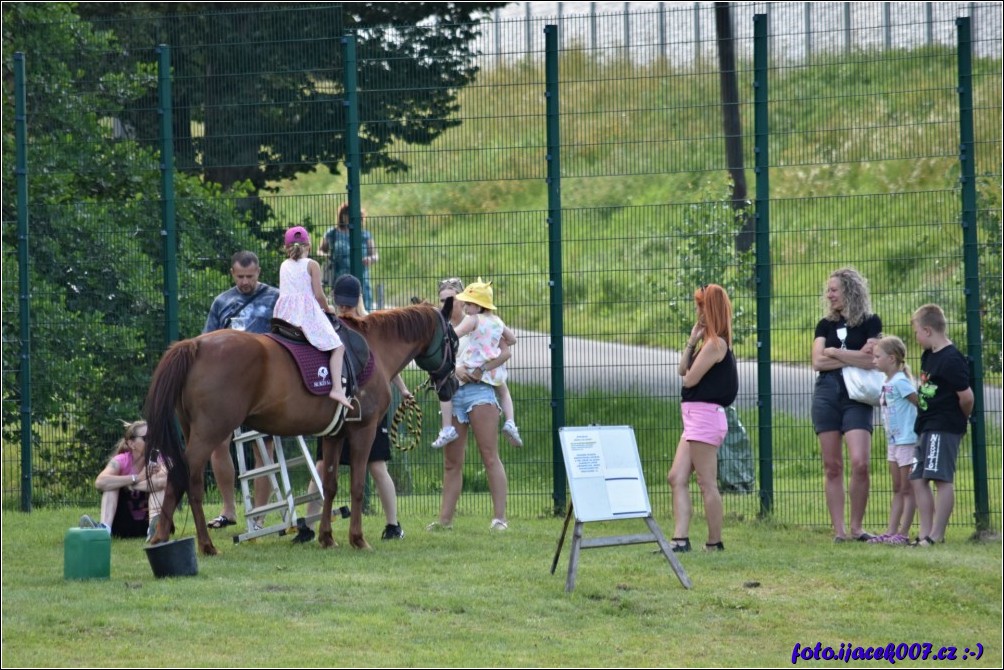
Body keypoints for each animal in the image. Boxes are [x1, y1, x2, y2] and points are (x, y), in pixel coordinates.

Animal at [142, 303, 455, 554]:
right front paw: (357, 538)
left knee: (177, 475)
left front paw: (327, 537)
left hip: (193, 430)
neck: (374, 348)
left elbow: (330, 485)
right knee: (190, 479)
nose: (451, 384)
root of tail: (195, 345)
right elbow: (356, 486)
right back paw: (205, 544)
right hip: (210, 433)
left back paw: (160, 538)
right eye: (453, 338)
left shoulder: (334, 435)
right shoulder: (362, 431)